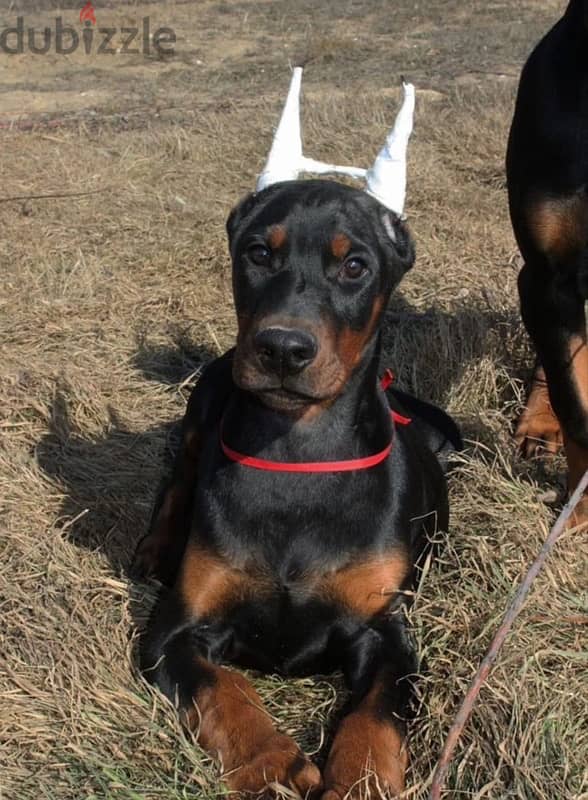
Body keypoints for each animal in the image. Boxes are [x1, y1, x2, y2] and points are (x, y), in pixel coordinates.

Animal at [132, 181, 460, 800]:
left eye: (355, 266)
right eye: (258, 252)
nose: (282, 348)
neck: (296, 452)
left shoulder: (386, 631)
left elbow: (374, 714)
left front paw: (359, 783)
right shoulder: (175, 632)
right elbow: (224, 690)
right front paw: (273, 767)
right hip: (205, 399)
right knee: (181, 472)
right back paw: (155, 547)